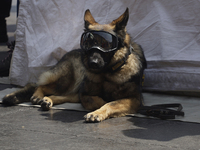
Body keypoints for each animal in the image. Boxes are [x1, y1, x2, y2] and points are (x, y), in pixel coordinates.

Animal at [2, 7, 147, 122]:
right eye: (88, 42)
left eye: (106, 44)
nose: (92, 63)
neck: (107, 73)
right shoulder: (85, 94)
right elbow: (100, 101)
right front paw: (97, 110)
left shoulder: (134, 99)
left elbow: (111, 103)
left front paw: (98, 112)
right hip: (68, 80)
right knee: (38, 85)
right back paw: (36, 96)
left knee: (56, 94)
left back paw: (46, 100)